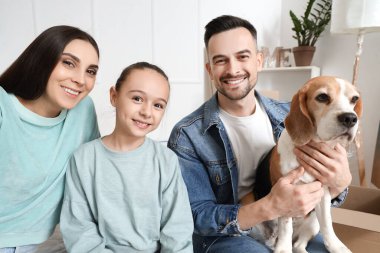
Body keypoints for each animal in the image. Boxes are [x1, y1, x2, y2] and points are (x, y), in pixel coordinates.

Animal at [268, 76, 360, 252]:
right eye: (322, 97)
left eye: (354, 99)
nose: (351, 118)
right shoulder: (285, 193)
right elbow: (285, 226)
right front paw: (283, 248)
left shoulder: (322, 193)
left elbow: (328, 224)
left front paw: (336, 246)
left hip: (312, 223)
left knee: (298, 245)